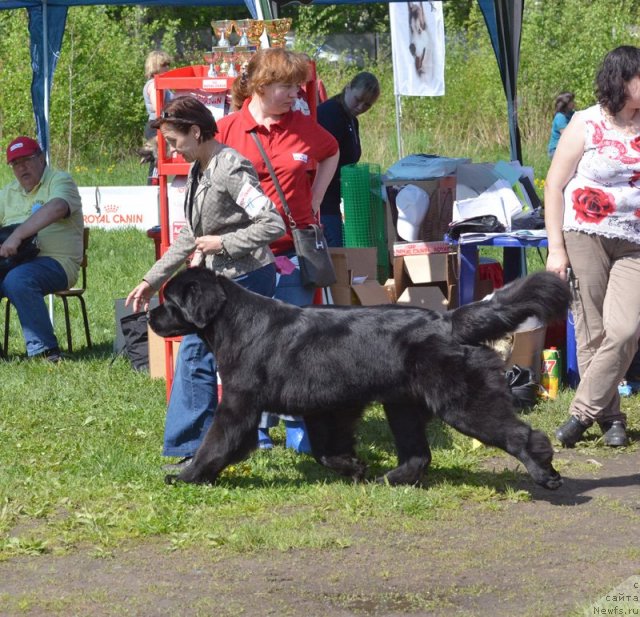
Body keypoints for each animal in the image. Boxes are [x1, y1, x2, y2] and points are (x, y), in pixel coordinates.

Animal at [150, 268, 568, 488]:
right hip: (402, 404)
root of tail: (449, 320)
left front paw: (187, 475)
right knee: (419, 453)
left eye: (169, 301)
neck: (236, 323)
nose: (149, 316)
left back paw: (545, 474)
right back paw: (391, 479)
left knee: (520, 435)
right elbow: (325, 450)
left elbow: (216, 442)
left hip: (462, 402)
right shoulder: (325, 407)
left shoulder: (239, 402)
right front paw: (355, 468)